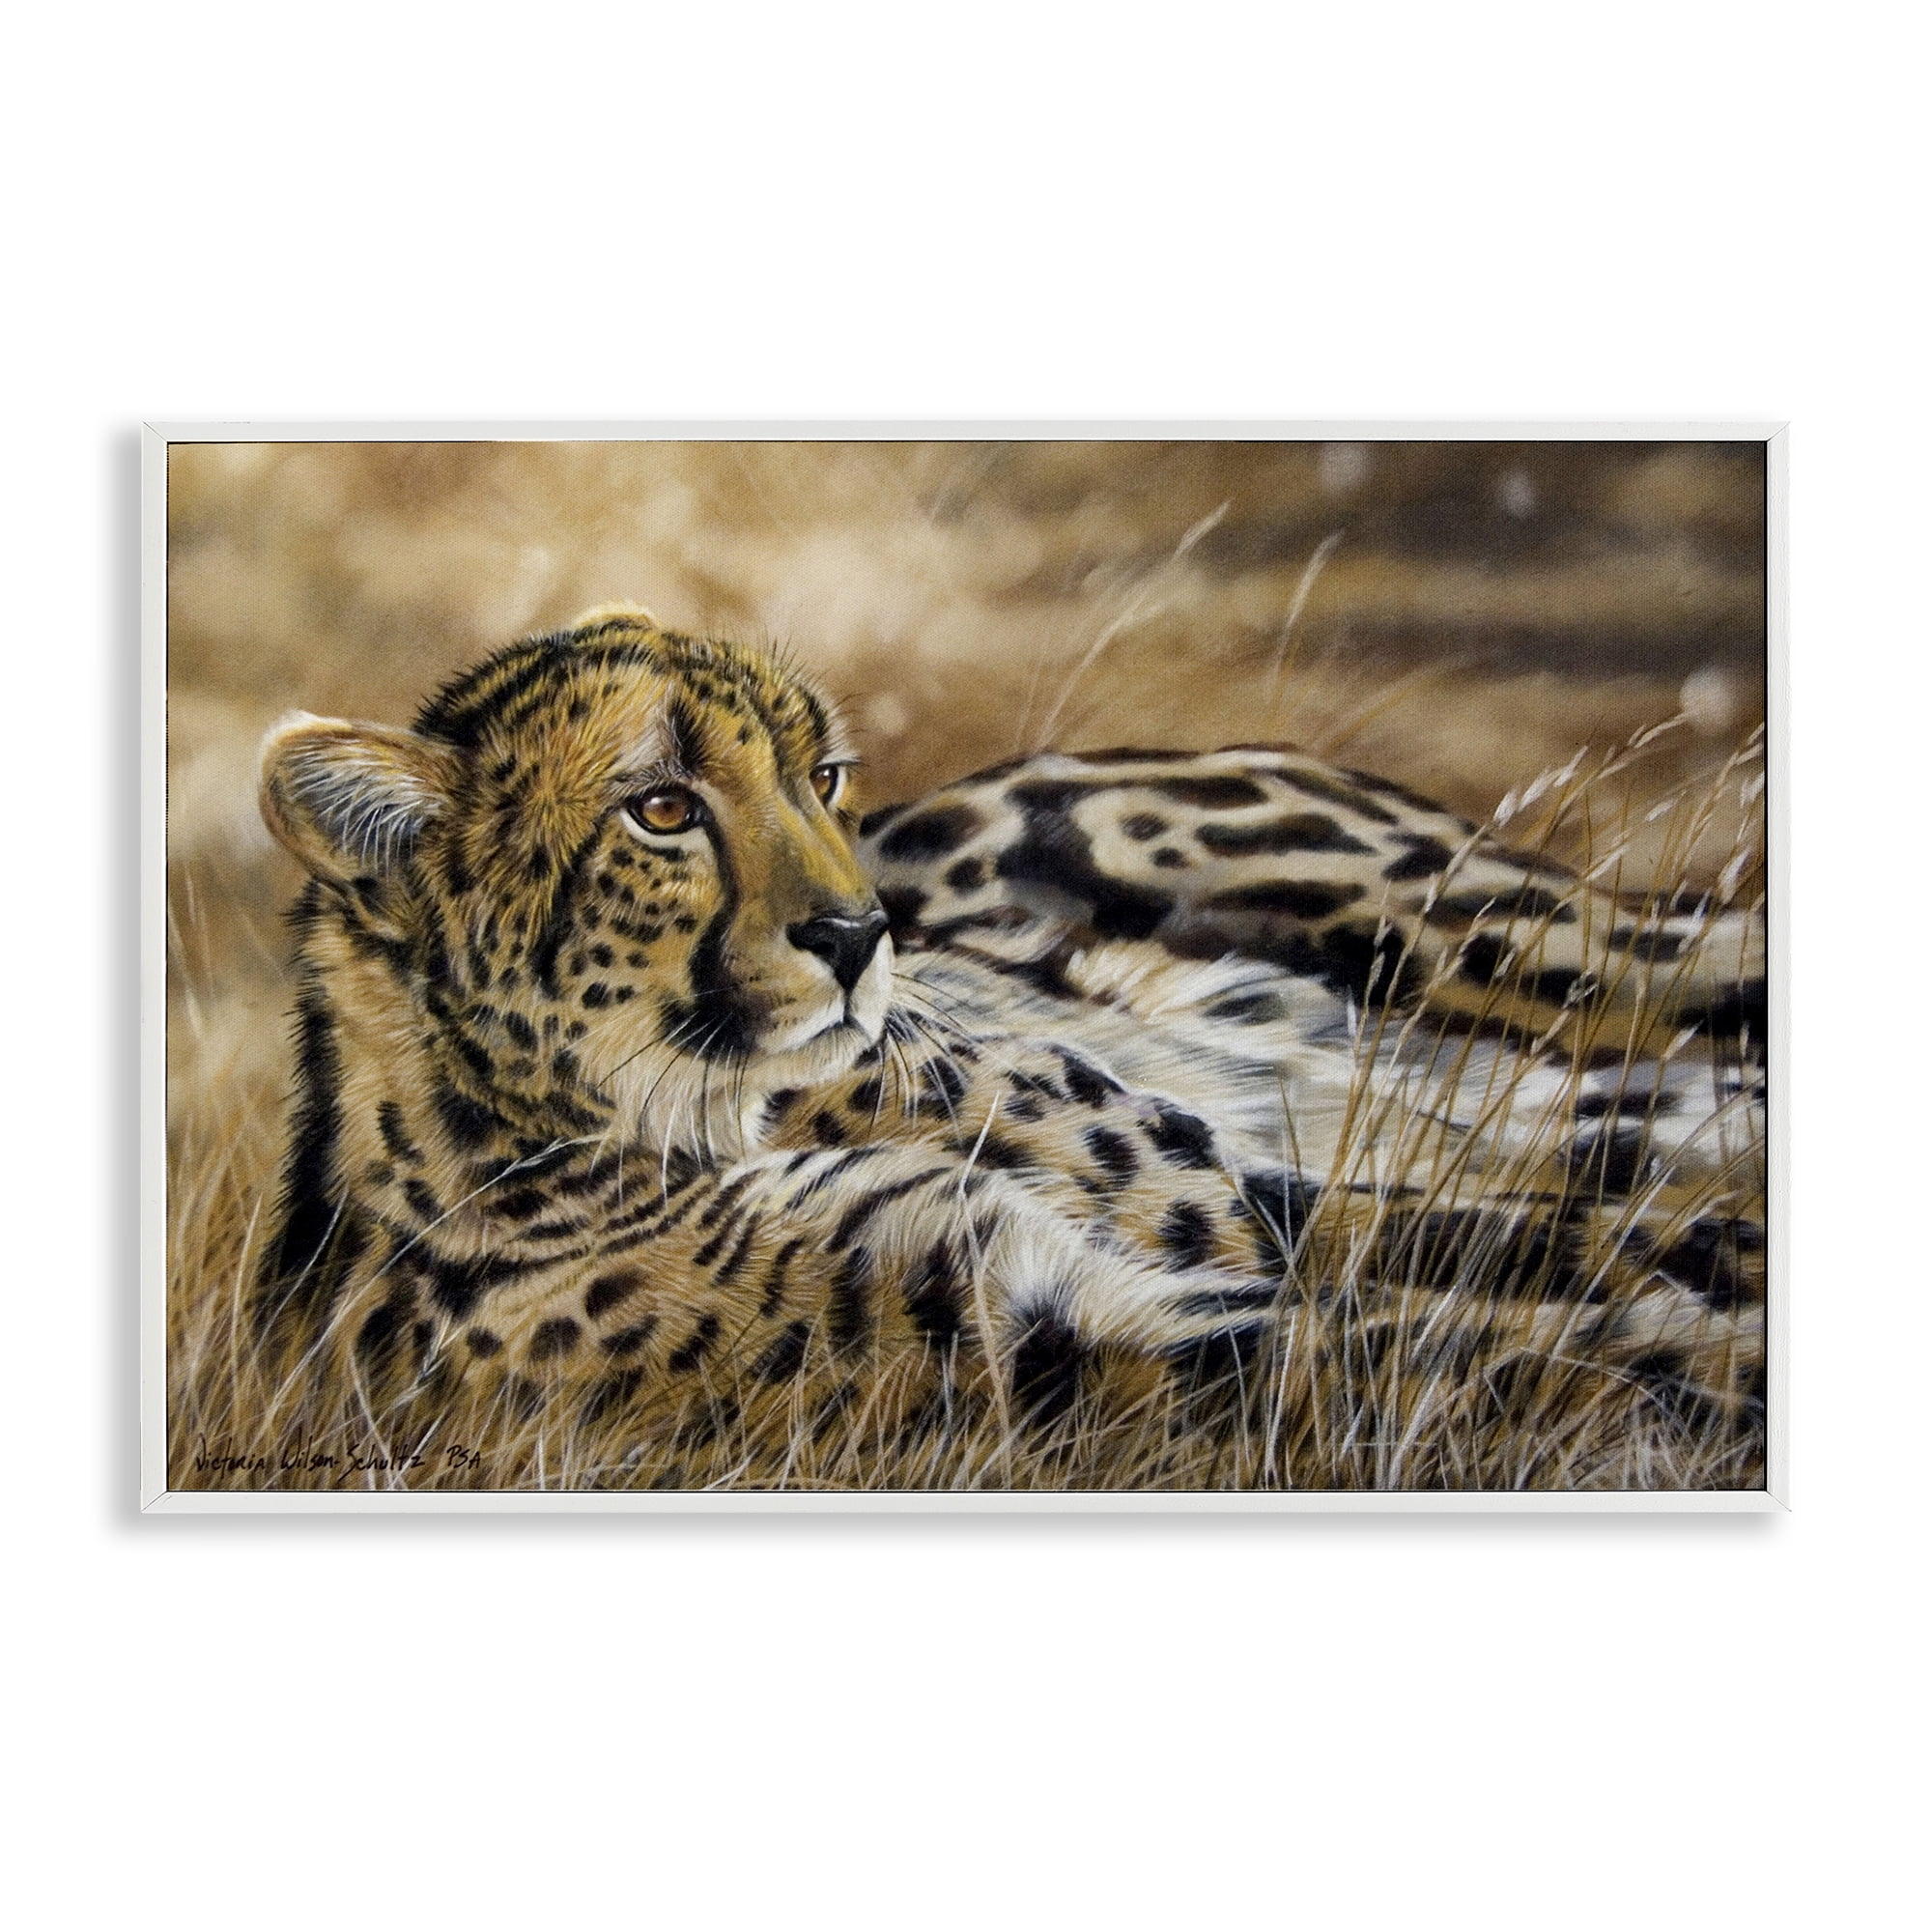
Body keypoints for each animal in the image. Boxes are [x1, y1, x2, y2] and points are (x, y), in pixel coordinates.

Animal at [245, 602, 1767, 1490]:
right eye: (661, 808)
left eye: (821, 776)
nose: (862, 931)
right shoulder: (1061, 1333)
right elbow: (1486, 1339)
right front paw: (1710, 1361)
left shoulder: (1217, 1207)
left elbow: (1536, 1254)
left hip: (1489, 933)